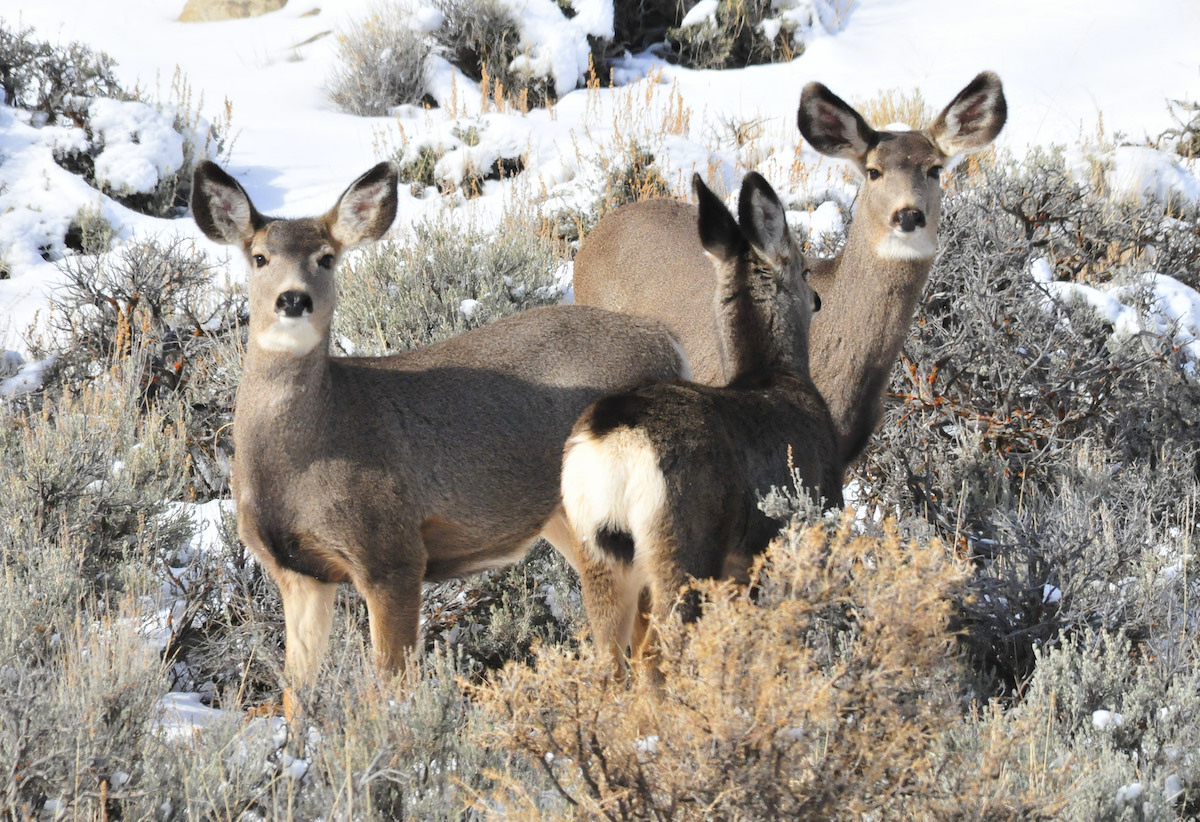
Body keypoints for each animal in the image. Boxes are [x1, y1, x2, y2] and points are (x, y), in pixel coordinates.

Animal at [556, 171, 840, 672]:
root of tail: (614, 437)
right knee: (657, 653)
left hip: (596, 552)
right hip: (685, 542)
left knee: (608, 661)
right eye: (805, 269)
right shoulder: (816, 512)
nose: (819, 299)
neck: (774, 376)